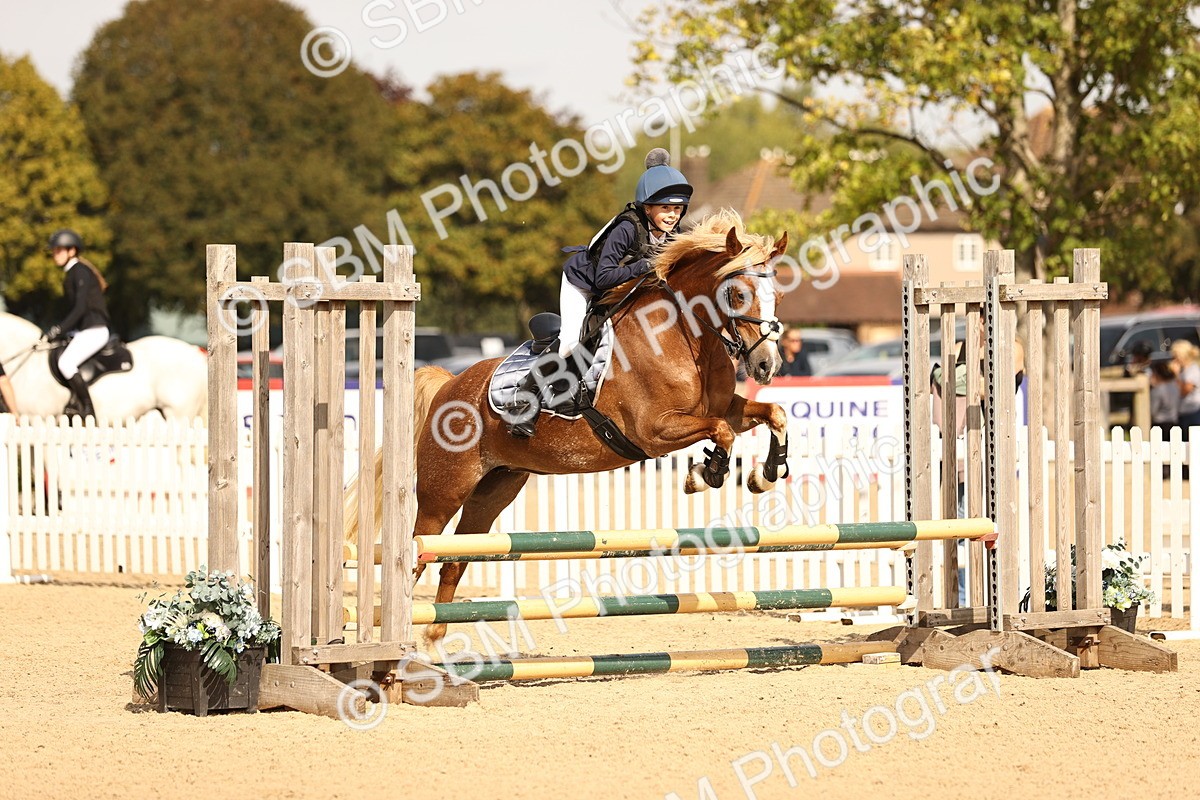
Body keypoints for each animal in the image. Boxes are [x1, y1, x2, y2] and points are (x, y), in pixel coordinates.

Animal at [346, 210, 792, 646]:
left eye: (779, 296)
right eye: (738, 294)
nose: (766, 366)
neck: (684, 337)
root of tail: (448, 384)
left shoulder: (724, 408)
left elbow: (773, 414)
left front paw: (765, 475)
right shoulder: (654, 431)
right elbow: (722, 432)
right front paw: (704, 475)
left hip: (494, 490)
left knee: (454, 559)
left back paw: (435, 637)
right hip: (444, 490)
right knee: (418, 553)